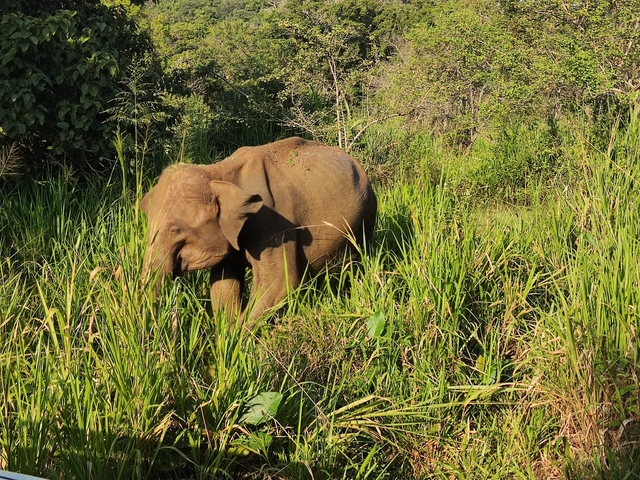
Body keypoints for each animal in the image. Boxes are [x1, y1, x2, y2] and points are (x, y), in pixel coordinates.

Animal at [140, 137, 377, 323]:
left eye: (175, 230)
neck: (217, 172)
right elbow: (223, 284)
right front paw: (225, 339)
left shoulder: (274, 224)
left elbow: (280, 284)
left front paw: (236, 338)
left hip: (367, 215)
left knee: (357, 261)